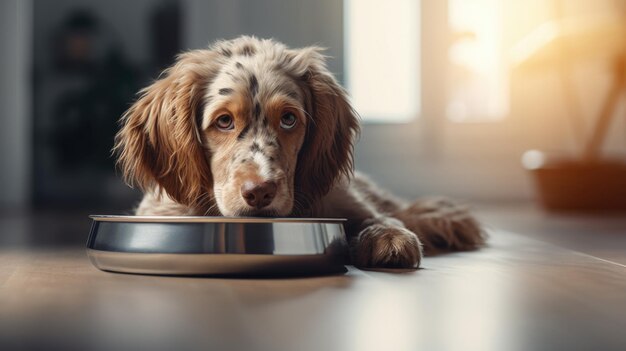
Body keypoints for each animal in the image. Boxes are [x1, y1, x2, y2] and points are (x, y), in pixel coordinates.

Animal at [113, 36, 482, 270]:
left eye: (289, 119)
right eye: (224, 121)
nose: (259, 192)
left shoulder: (341, 199)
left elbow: (380, 218)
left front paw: (389, 239)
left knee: (397, 209)